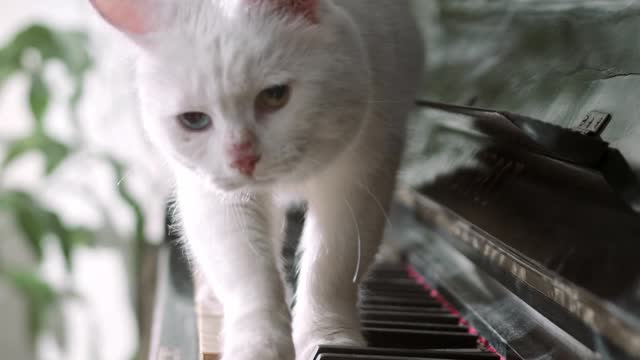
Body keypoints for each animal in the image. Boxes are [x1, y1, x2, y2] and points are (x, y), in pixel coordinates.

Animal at [87, 0, 422, 358]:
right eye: (193, 120)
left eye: (275, 95)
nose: (243, 158)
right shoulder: (217, 198)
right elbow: (250, 277)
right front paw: (259, 345)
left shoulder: (360, 176)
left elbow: (332, 269)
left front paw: (329, 338)